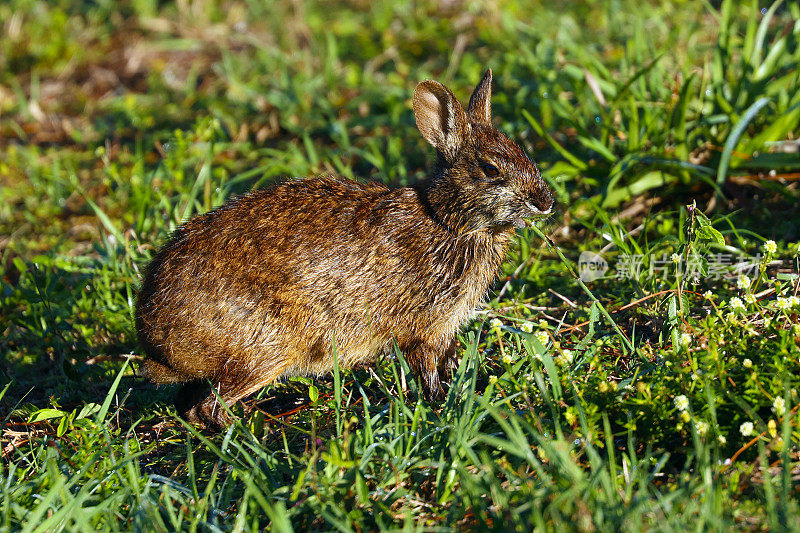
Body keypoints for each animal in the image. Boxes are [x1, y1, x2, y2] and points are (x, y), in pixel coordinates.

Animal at [136, 69, 552, 428]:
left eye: (522, 153)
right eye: (491, 170)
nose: (545, 202)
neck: (447, 220)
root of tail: (156, 341)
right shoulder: (423, 327)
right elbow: (426, 368)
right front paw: (439, 403)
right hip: (267, 349)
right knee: (207, 406)